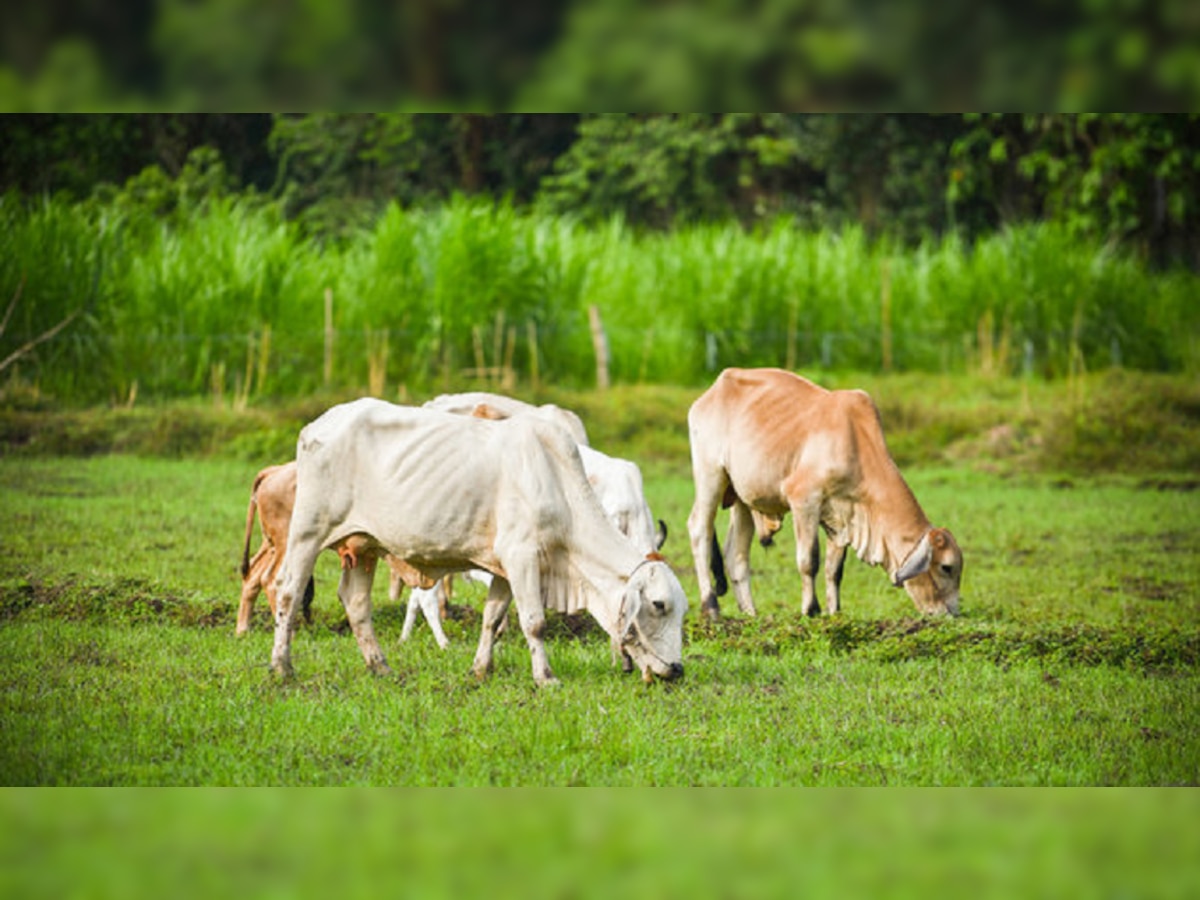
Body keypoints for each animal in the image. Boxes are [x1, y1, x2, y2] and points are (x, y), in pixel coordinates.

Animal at [235, 465, 441, 643]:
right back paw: (289, 634)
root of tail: (273, 471)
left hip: (272, 544)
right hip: (287, 544)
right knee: (271, 580)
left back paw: (243, 630)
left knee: (254, 574)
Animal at [270, 398, 686, 686]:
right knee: (288, 592)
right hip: (308, 532)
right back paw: (282, 667)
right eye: (659, 605)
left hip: (364, 546)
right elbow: (534, 622)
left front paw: (481, 669)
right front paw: (546, 678)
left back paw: (381, 666)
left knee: (356, 603)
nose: (678, 669)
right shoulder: (522, 557)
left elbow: (492, 618)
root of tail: (317, 424)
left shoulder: (504, 567)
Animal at [691, 369, 960, 624]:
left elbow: (834, 569)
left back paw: (750, 613)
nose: (953, 614)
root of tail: (712, 391)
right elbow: (809, 560)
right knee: (699, 530)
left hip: (743, 499)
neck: (856, 442)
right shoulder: (804, 500)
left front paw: (834, 613)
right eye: (946, 567)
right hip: (710, 476)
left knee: (736, 554)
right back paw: (711, 607)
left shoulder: (841, 517)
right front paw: (811, 610)